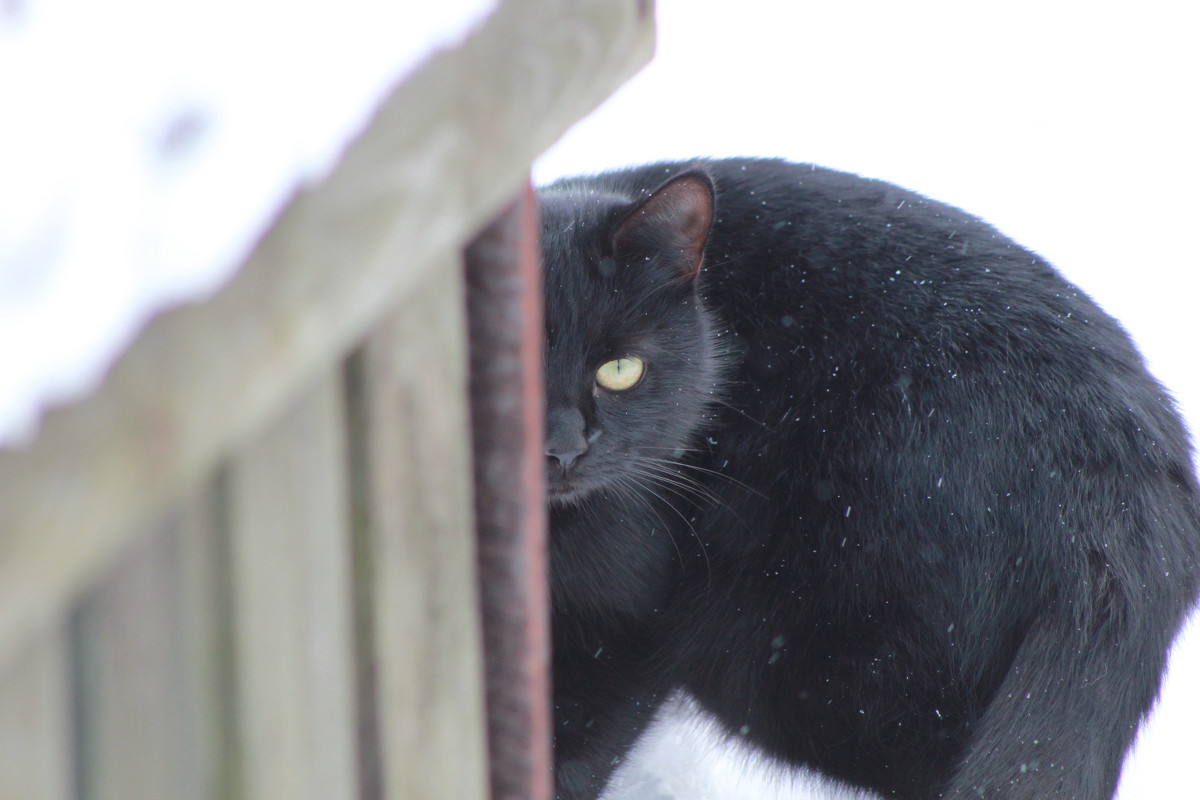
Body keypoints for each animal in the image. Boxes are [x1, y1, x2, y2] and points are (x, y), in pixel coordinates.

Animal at [542, 158, 1200, 800]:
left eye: (620, 370)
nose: (563, 448)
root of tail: (1133, 495)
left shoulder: (635, 616)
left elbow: (572, 755)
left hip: (793, 652)